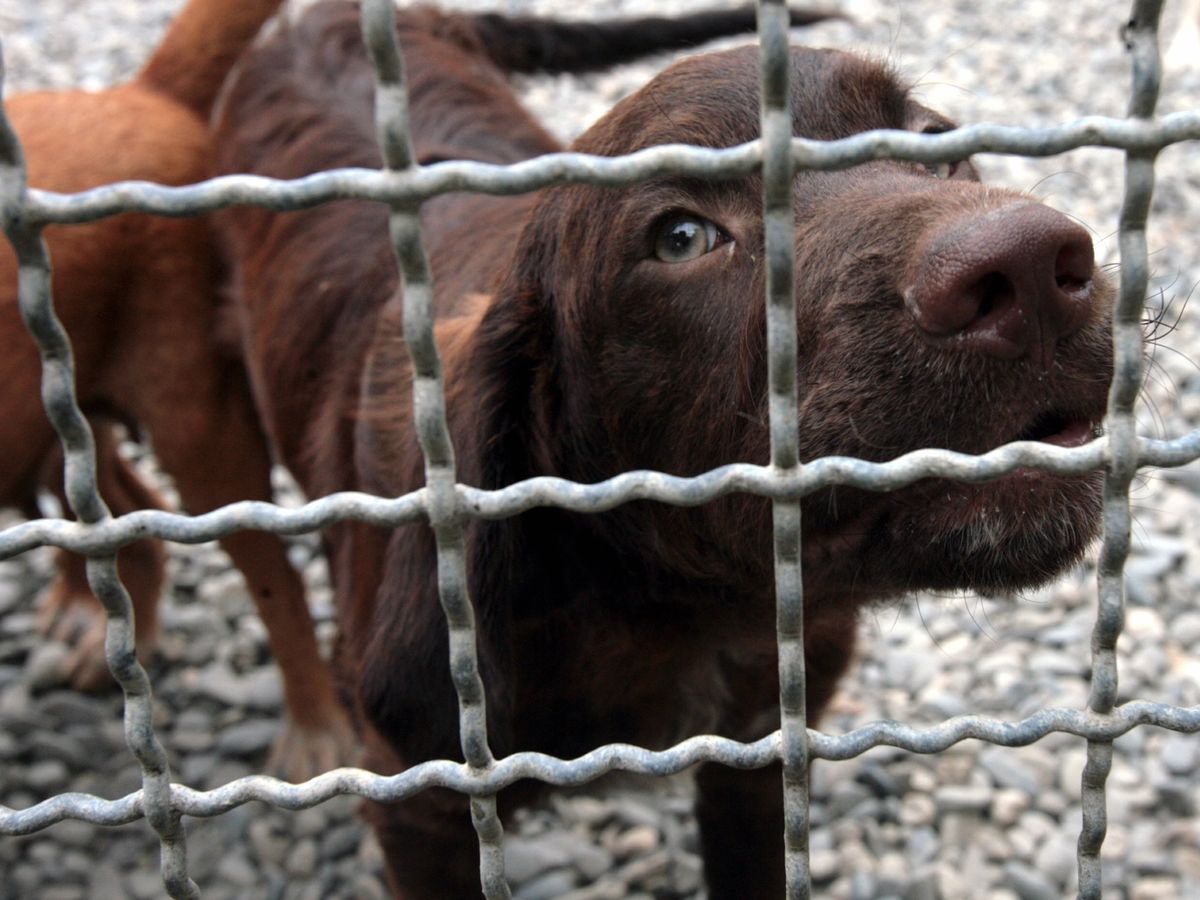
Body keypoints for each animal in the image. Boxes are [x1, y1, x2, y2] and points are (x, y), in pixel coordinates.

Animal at [213, 3, 1113, 897]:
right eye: (680, 238)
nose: (1030, 267)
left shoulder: (758, 754)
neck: (669, 611)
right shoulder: (421, 801)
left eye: (933, 140)